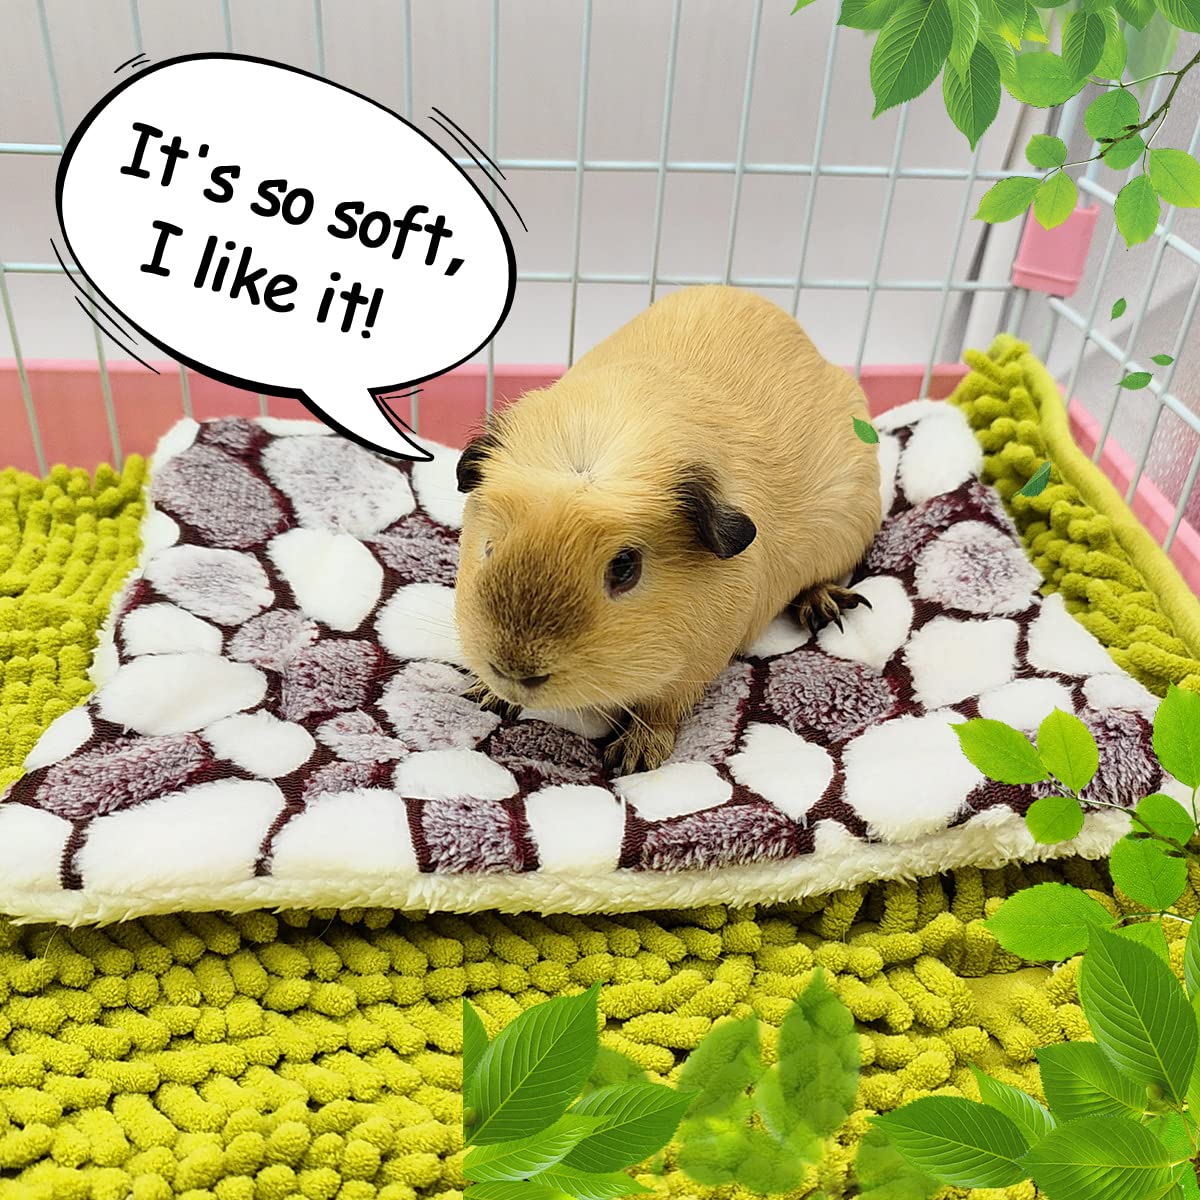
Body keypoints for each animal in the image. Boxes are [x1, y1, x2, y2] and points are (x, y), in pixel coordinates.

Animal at [453, 284, 882, 775]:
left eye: (625, 567)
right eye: (489, 546)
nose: (515, 670)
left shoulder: (695, 664)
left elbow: (660, 709)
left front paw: (634, 760)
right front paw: (484, 696)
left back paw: (827, 606)